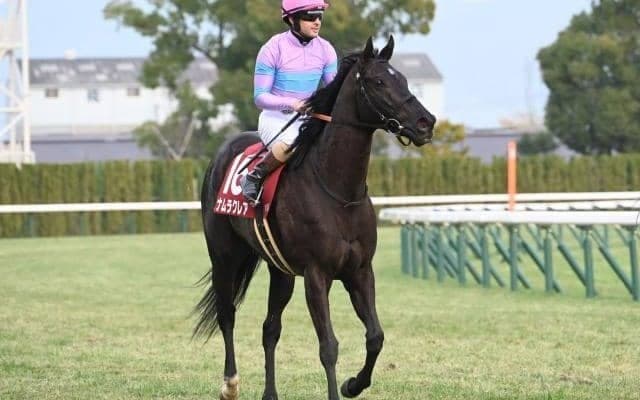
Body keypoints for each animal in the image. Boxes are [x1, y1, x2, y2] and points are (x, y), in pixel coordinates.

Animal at [195, 36, 436, 400]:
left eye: (405, 80)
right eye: (379, 82)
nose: (426, 123)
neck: (338, 192)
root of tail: (221, 153)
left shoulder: (359, 271)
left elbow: (375, 336)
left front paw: (353, 384)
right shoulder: (316, 274)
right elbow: (329, 347)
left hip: (280, 271)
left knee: (270, 328)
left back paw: (270, 393)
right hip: (224, 255)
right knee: (227, 315)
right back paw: (230, 384)